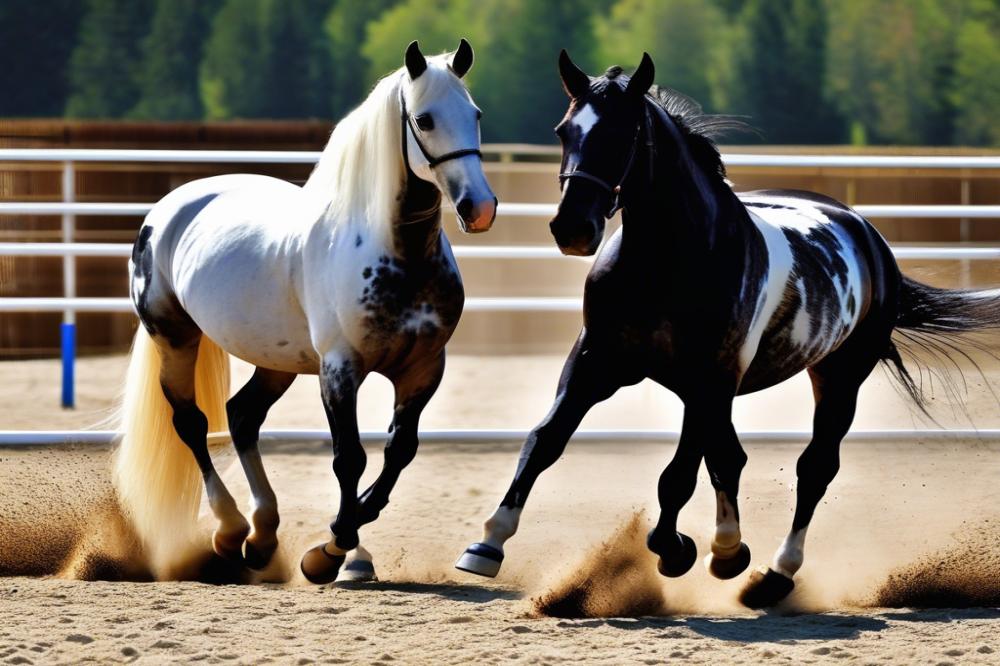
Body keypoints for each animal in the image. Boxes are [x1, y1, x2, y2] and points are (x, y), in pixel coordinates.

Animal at [113, 41, 496, 580]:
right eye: (424, 119)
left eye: (475, 114)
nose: (479, 208)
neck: (397, 253)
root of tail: (170, 207)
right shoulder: (339, 369)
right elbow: (348, 458)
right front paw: (330, 551)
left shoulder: (423, 370)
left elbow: (399, 452)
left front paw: (349, 533)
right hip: (175, 338)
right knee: (192, 423)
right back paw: (231, 530)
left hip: (277, 361)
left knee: (242, 416)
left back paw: (262, 537)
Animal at [458, 52, 1000, 608]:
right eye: (564, 130)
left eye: (624, 133)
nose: (572, 228)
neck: (667, 262)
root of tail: (868, 235)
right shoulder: (596, 364)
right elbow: (546, 440)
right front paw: (487, 545)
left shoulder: (710, 378)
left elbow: (679, 476)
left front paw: (692, 551)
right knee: (730, 457)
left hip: (838, 377)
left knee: (813, 468)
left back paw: (773, 575)